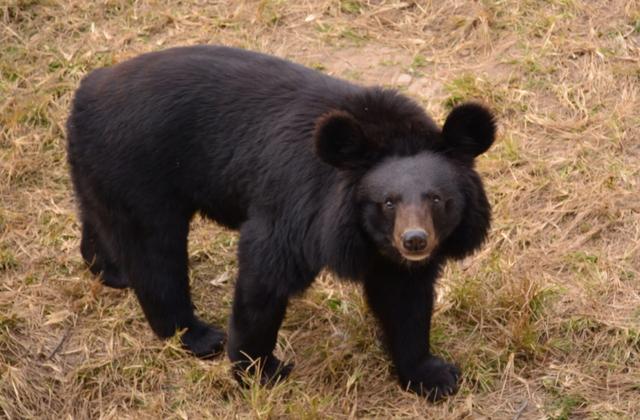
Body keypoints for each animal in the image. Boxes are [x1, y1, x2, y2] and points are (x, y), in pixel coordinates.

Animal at [66, 45, 496, 400]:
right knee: (155, 255)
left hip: (104, 170)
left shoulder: (390, 257)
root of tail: (87, 89)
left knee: (101, 217)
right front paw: (259, 371)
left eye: (437, 199)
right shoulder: (299, 208)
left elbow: (405, 300)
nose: (415, 241)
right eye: (387, 203)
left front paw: (433, 377)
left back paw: (110, 270)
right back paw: (197, 335)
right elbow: (265, 277)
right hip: (141, 172)